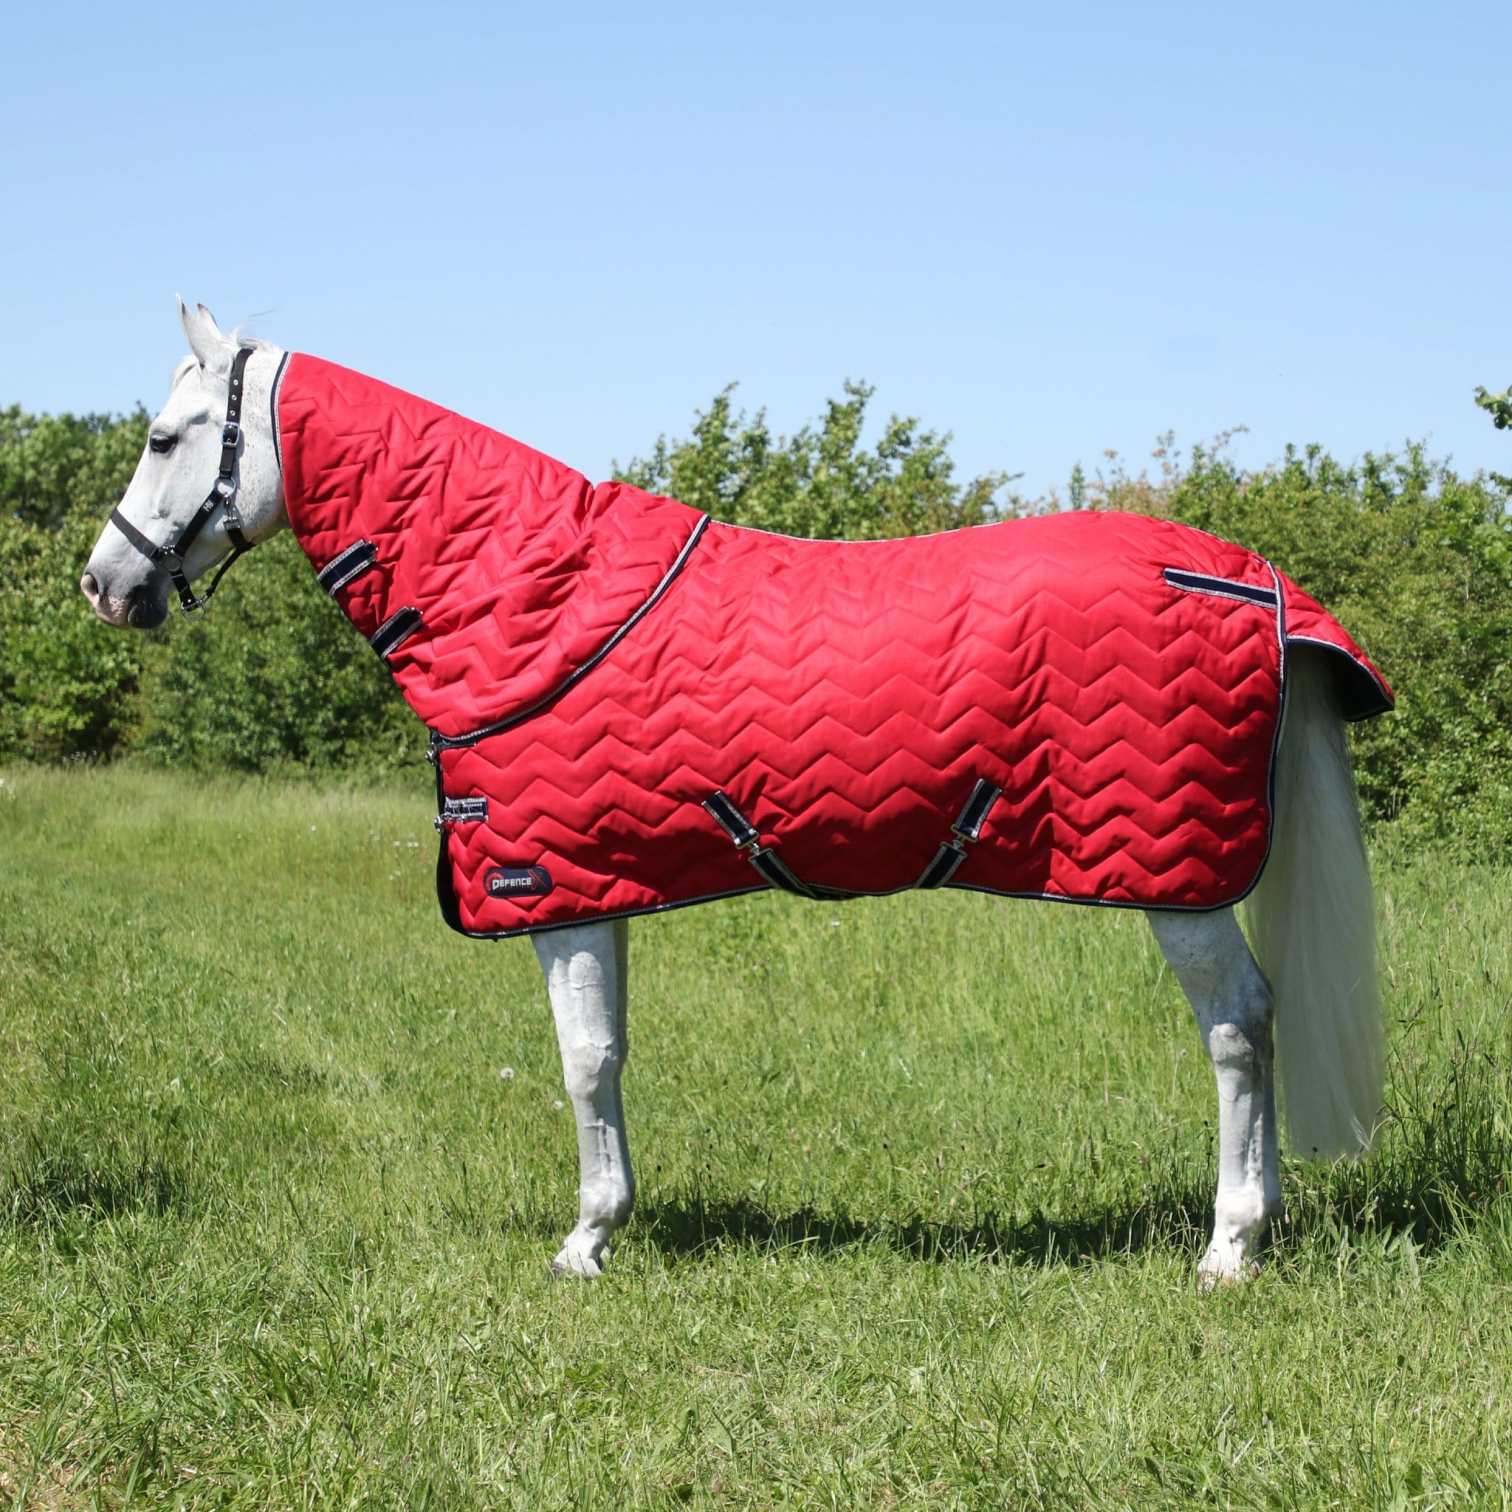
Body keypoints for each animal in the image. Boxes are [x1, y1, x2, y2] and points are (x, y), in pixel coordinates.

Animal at [82, 300, 1389, 1287]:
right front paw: (606, 1223)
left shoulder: (553, 885)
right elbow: (610, 1053)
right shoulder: (600, 883)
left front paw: (583, 1244)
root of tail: (1253, 577)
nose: (104, 586)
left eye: (164, 438)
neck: (532, 598)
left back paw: (1230, 1247)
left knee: (1240, 1026)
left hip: (1176, 872)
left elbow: (582, 1062)